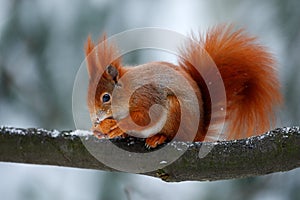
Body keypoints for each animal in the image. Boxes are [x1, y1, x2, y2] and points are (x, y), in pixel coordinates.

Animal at [84, 24, 282, 148]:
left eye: (106, 97)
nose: (96, 119)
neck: (127, 89)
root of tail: (198, 133)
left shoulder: (147, 95)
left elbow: (144, 117)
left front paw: (118, 126)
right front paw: (99, 130)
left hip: (176, 110)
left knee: (173, 135)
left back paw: (158, 137)